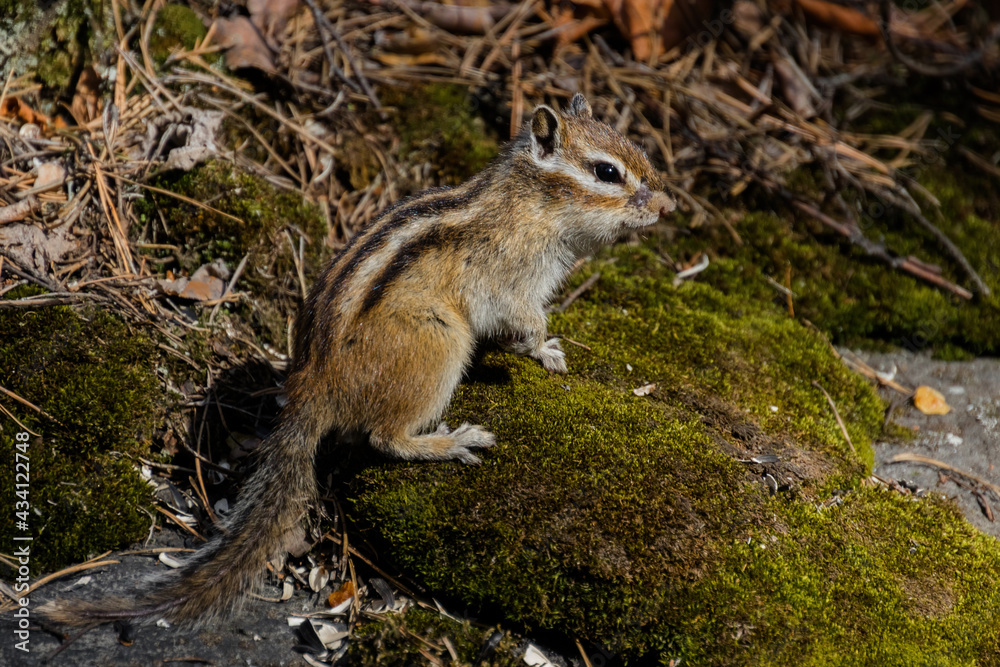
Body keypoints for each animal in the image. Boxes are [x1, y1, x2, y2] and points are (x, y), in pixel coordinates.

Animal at [41, 93, 675, 628]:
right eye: (607, 172)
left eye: (639, 153)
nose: (669, 206)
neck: (533, 205)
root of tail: (311, 387)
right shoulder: (509, 279)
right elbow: (521, 320)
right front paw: (543, 348)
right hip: (439, 346)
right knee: (383, 438)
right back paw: (450, 441)